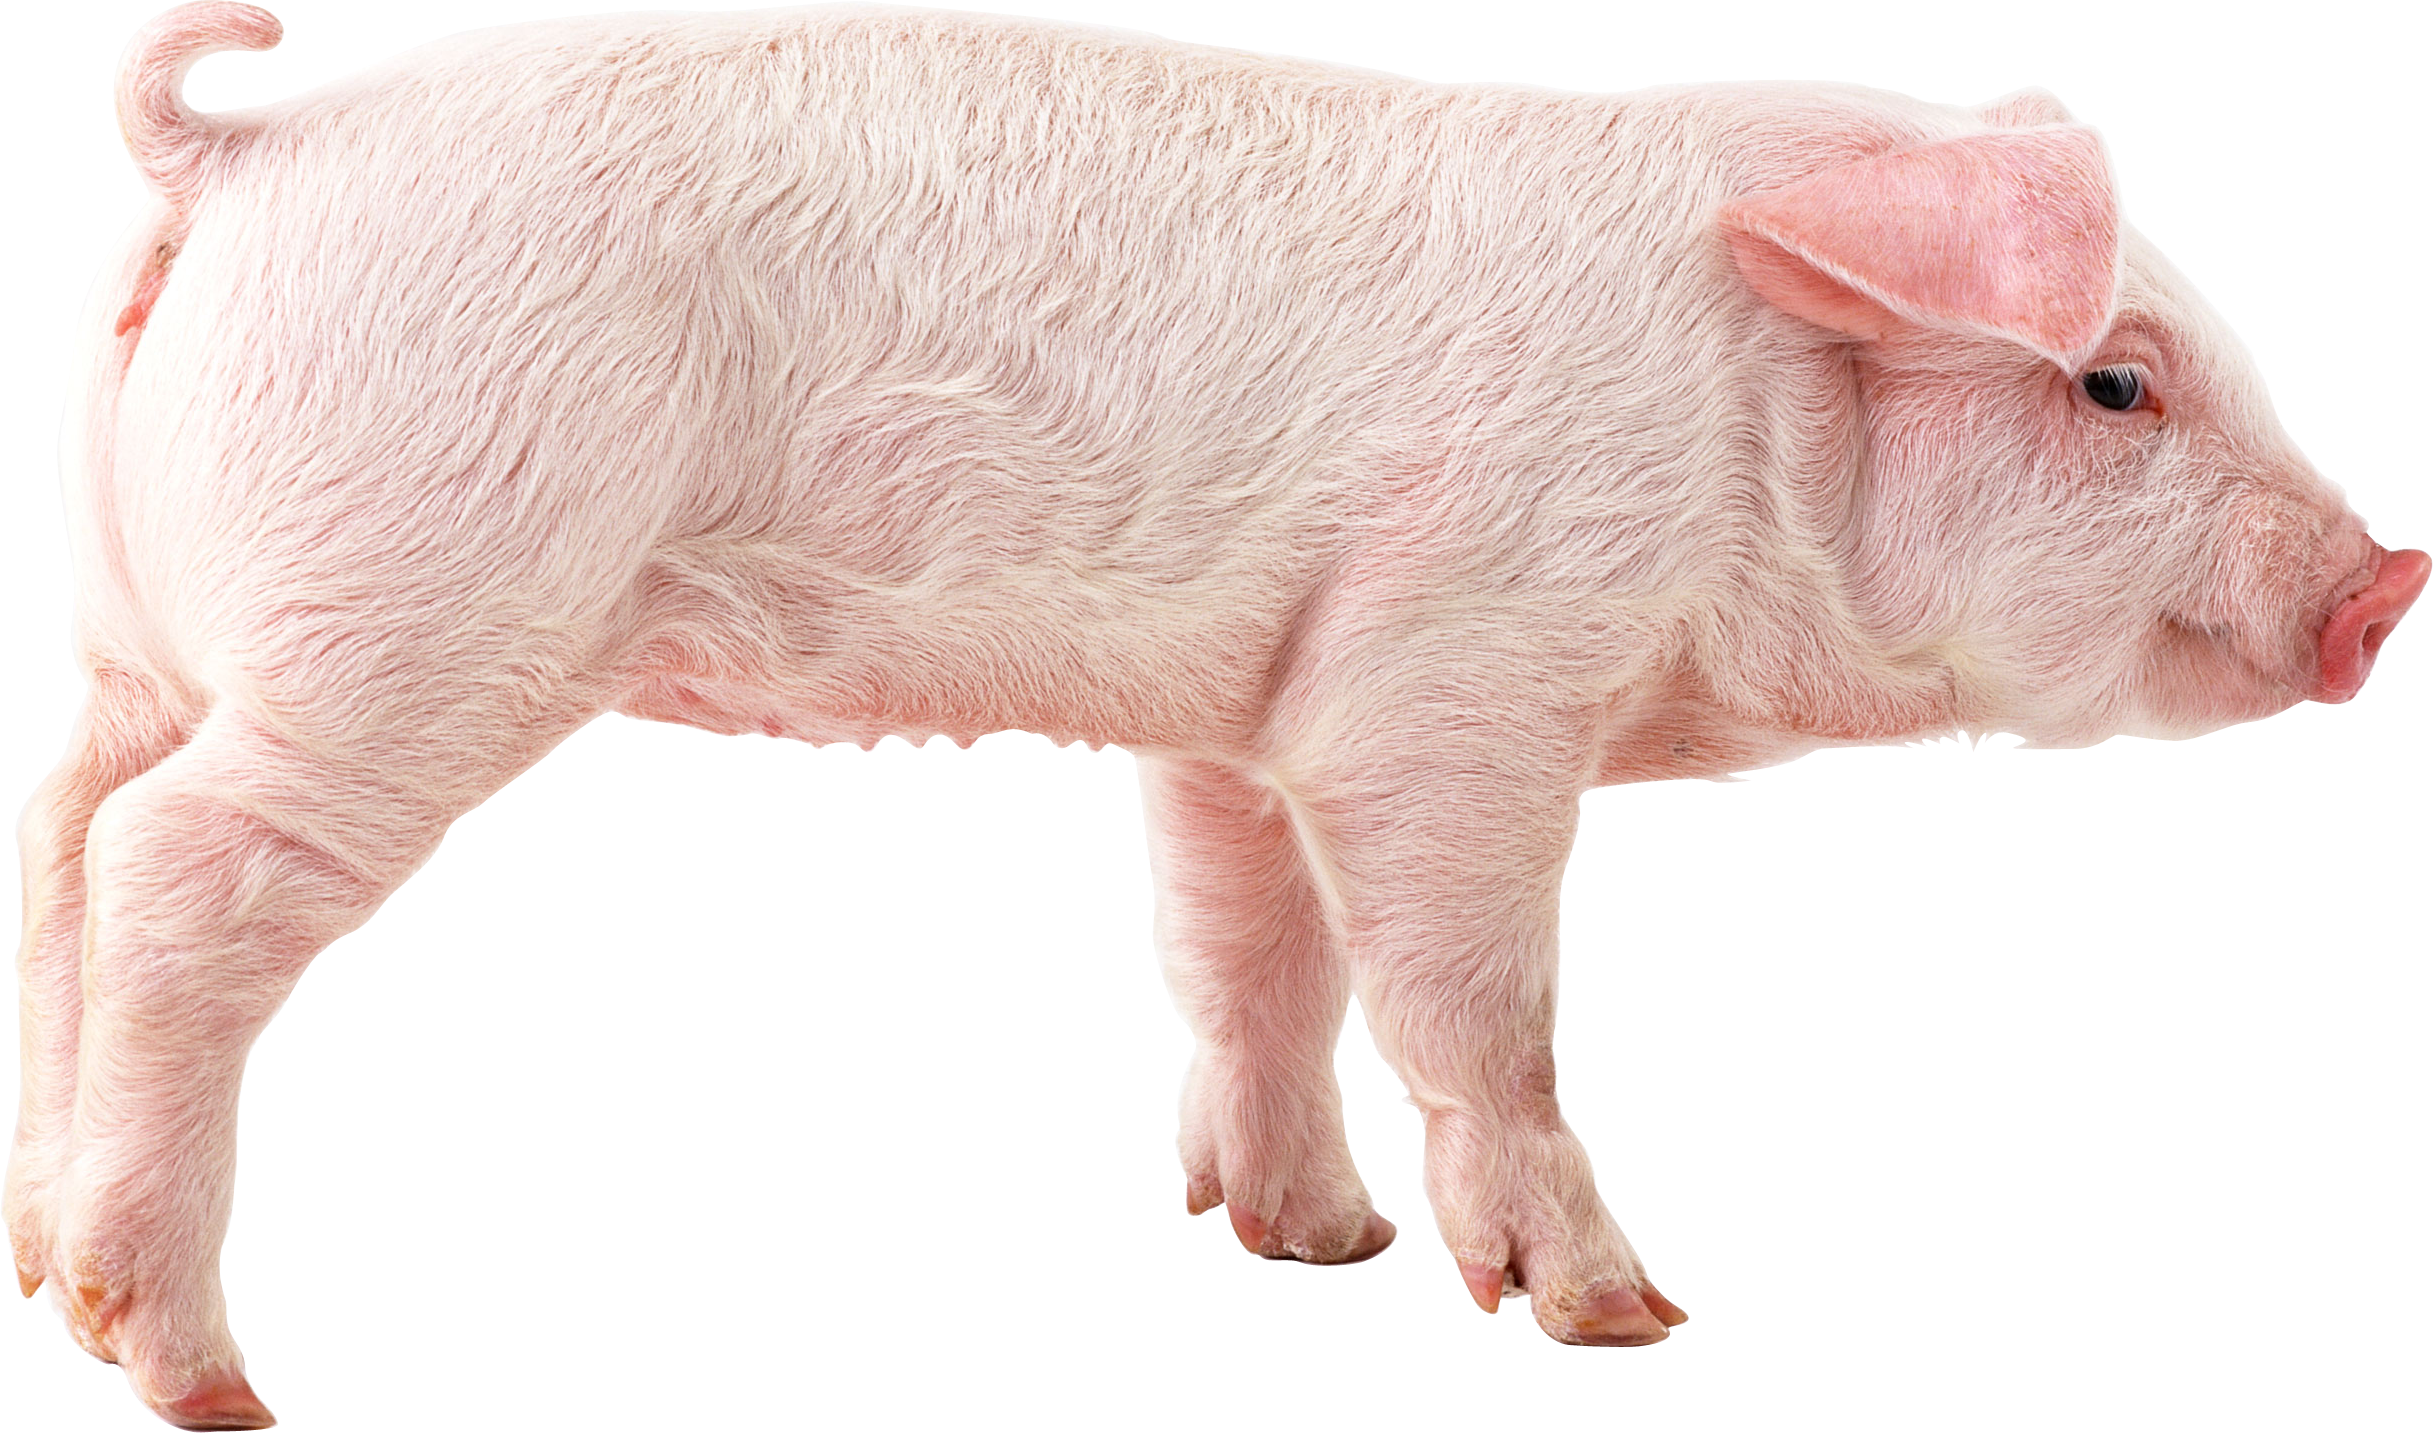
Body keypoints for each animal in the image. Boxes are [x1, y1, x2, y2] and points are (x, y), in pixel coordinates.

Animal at [12, 4, 2427, 1427]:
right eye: (2112, 382)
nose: (2386, 580)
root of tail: (240, 155)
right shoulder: (1448, 670)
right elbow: (1467, 994)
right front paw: (1619, 1319)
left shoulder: (1253, 698)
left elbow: (1252, 947)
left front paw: (1316, 1245)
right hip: (411, 599)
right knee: (177, 867)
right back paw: (197, 1374)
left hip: (142, 638)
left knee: (62, 843)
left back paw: (47, 1284)